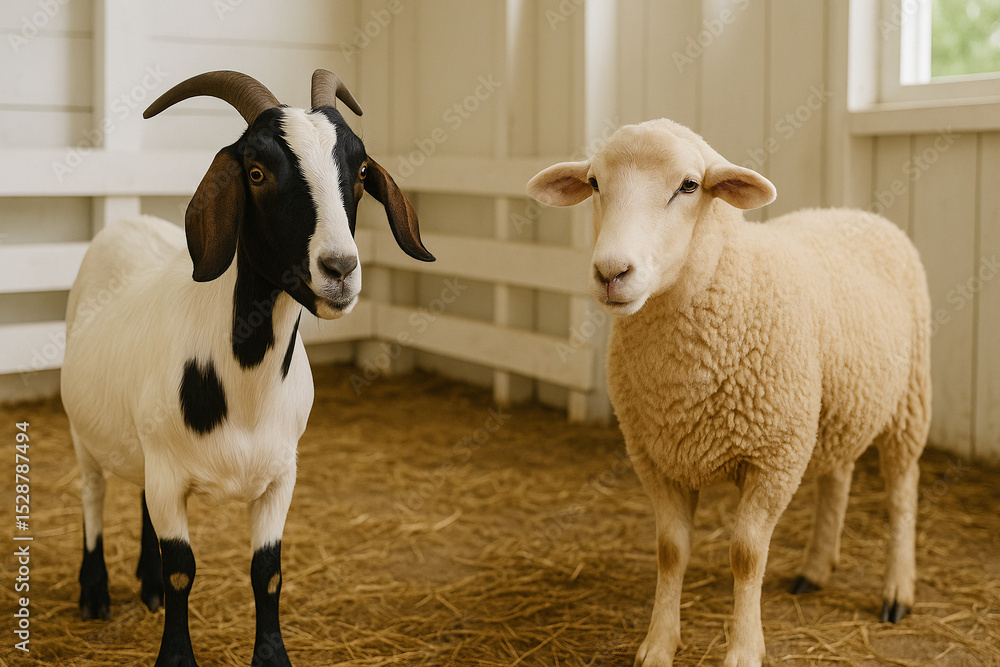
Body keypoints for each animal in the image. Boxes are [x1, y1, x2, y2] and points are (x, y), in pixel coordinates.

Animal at [61, 69, 433, 667]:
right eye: (257, 173)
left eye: (359, 172)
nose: (341, 270)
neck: (245, 388)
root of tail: (126, 223)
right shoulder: (169, 473)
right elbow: (183, 572)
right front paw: (175, 656)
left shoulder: (280, 475)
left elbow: (267, 573)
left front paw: (272, 656)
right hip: (83, 430)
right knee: (93, 496)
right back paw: (94, 593)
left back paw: (145, 585)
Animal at [527, 118, 931, 667]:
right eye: (593, 183)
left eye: (689, 185)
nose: (611, 273)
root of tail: (855, 213)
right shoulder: (656, 457)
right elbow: (671, 549)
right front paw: (659, 643)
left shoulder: (774, 455)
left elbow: (746, 554)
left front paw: (742, 649)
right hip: (835, 405)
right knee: (837, 476)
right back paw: (816, 568)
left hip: (909, 399)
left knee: (902, 493)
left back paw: (897, 591)